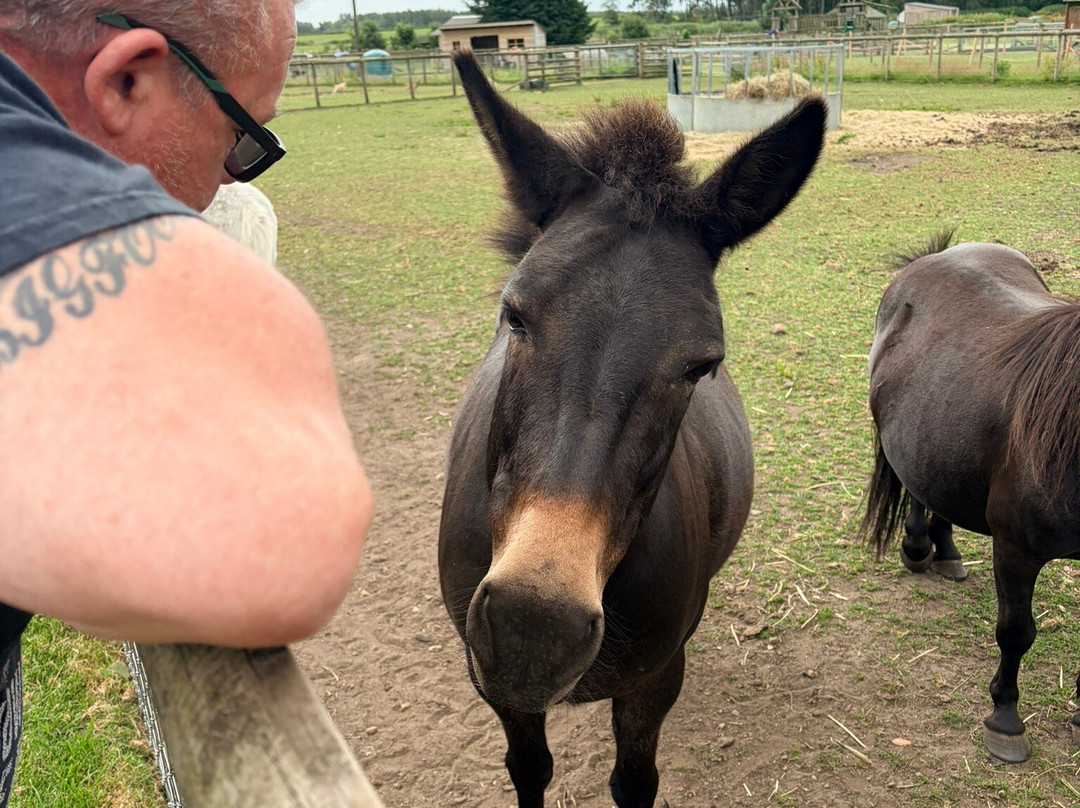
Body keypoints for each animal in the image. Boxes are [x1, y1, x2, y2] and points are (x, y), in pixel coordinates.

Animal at [438, 51, 826, 808]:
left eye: (702, 364)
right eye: (514, 316)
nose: (535, 628)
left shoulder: (651, 681)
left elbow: (634, 780)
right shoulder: (493, 679)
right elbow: (528, 769)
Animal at [862, 234, 1080, 763]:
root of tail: (935, 256)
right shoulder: (1016, 551)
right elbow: (1015, 633)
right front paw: (1005, 720)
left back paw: (945, 551)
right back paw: (920, 547)